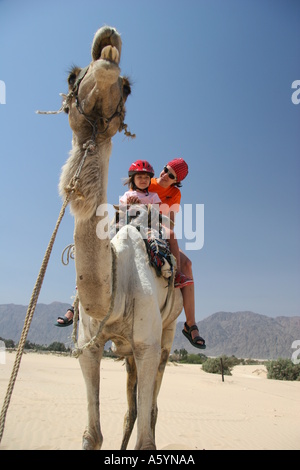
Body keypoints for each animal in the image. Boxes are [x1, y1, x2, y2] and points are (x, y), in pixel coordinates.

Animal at [57, 25, 182, 452]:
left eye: (126, 87)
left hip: (165, 336)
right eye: (71, 76)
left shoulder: (146, 346)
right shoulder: (87, 348)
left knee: (151, 407)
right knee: (131, 407)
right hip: (125, 352)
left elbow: (147, 437)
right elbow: (92, 434)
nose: (107, 43)